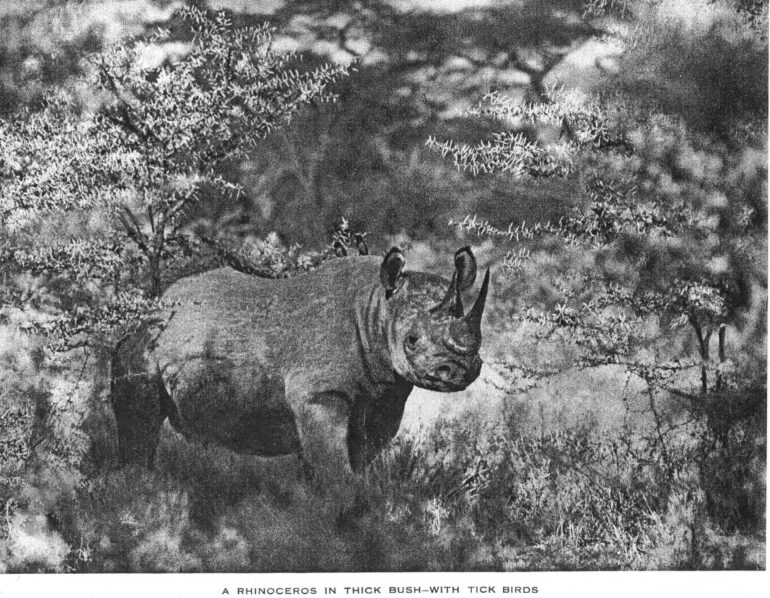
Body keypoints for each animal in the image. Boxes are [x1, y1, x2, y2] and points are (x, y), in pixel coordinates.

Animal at [110, 246, 489, 475]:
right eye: (412, 341)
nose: (459, 371)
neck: (378, 309)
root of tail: (155, 302)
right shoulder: (320, 393)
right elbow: (333, 466)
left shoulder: (384, 397)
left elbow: (354, 460)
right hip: (143, 341)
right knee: (140, 425)